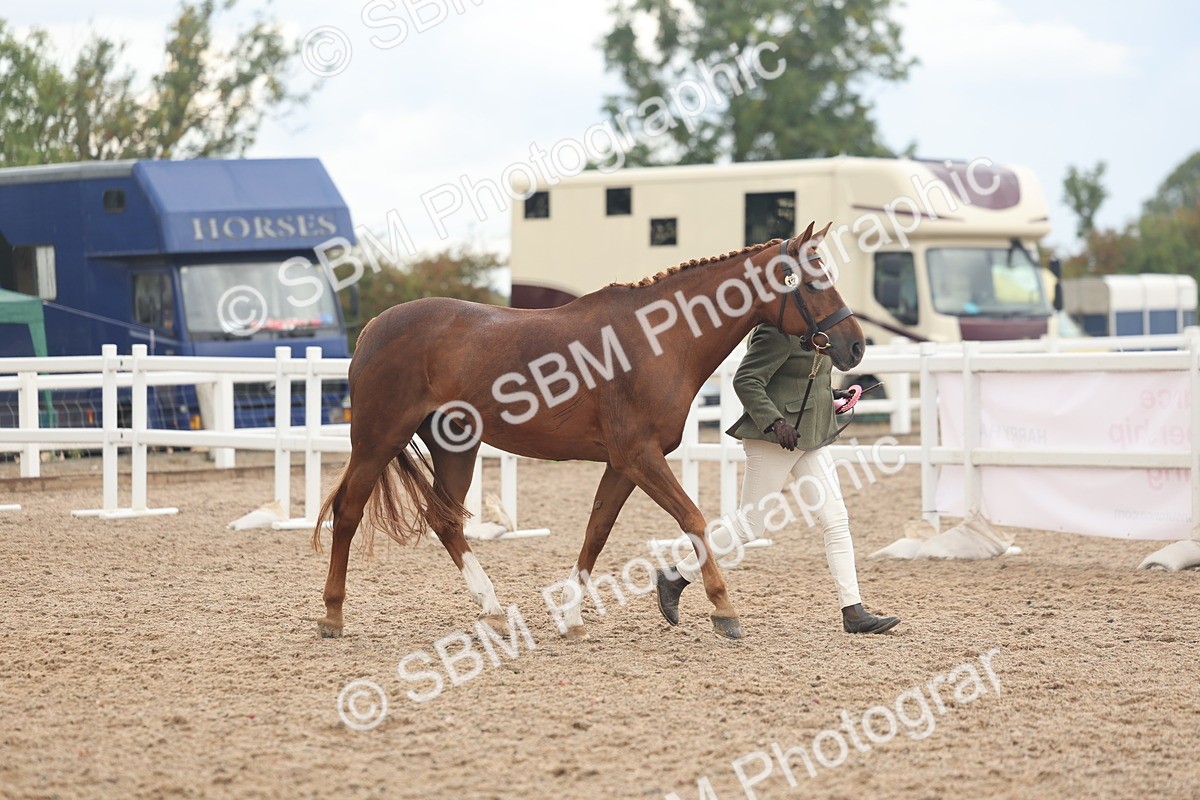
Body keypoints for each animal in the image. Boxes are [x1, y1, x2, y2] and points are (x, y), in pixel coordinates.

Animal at [311, 221, 865, 640]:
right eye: (812, 281)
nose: (855, 346)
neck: (659, 340)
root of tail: (373, 328)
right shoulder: (641, 457)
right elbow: (694, 520)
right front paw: (723, 609)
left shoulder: (622, 464)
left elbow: (596, 533)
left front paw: (572, 618)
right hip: (377, 440)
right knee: (349, 511)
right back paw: (333, 615)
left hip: (456, 447)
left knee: (444, 520)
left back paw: (492, 609)